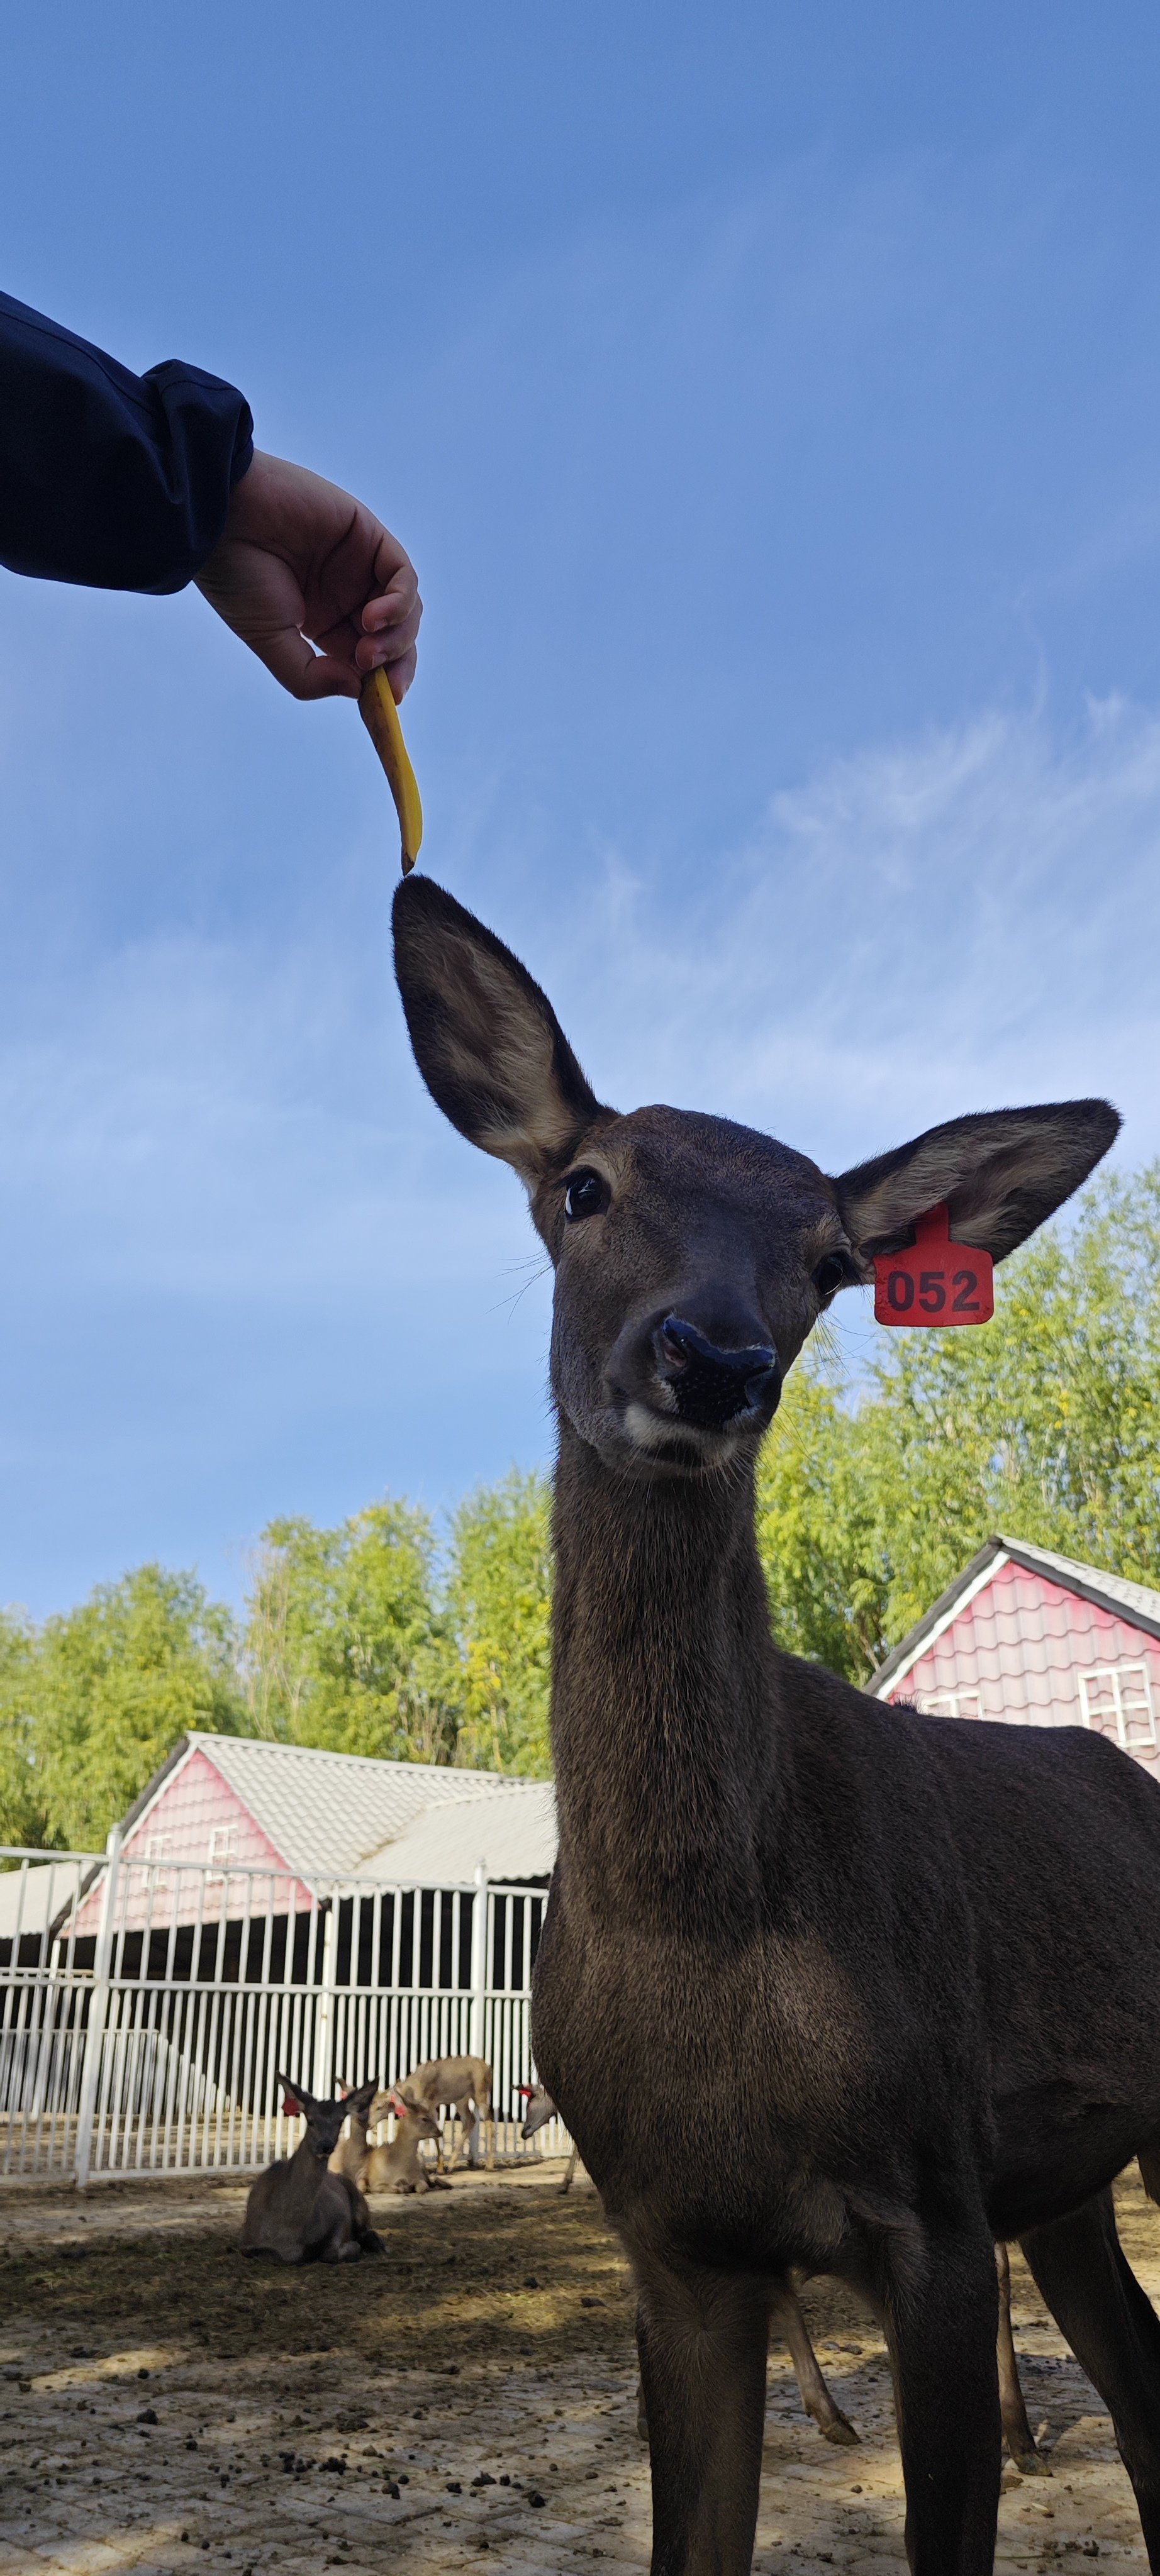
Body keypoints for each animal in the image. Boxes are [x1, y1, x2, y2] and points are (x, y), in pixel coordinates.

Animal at [240, 2081, 384, 2267]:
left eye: (340, 2121)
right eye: (310, 2120)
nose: (325, 2146)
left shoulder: (340, 2216)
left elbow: (330, 2252)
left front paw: (355, 2249)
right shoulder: (246, 2241)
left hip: (361, 2203)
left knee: (367, 2229)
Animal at [399, 2050, 494, 2174]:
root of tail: (488, 2068)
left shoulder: (429, 2106)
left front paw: (440, 2168)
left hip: (480, 2095)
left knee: (488, 2119)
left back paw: (489, 2165)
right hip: (462, 2101)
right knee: (471, 2120)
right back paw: (451, 2165)